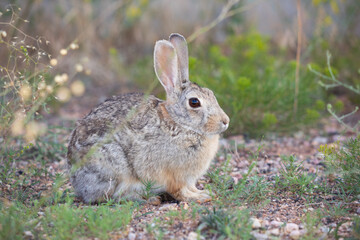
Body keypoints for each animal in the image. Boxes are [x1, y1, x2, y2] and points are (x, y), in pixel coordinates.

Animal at [67, 33, 231, 202]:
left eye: (211, 93)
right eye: (194, 102)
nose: (225, 121)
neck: (180, 123)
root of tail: (77, 181)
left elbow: (190, 187)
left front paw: (201, 193)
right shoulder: (174, 175)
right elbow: (180, 191)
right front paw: (200, 197)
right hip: (115, 169)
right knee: (114, 196)